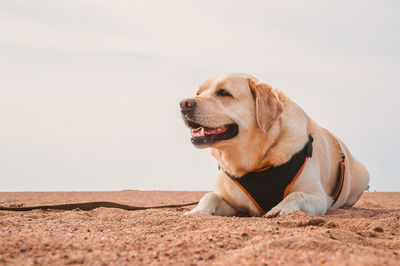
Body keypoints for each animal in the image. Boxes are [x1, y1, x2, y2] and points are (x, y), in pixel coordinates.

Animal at [180, 72, 370, 216]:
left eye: (223, 92)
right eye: (198, 92)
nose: (184, 104)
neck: (254, 163)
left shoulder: (318, 196)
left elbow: (297, 195)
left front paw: (280, 208)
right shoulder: (232, 201)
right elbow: (209, 196)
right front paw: (196, 211)